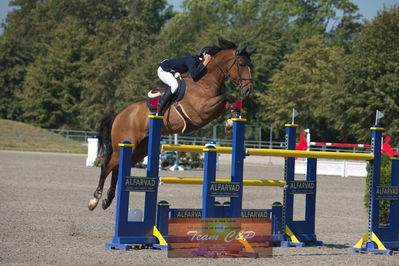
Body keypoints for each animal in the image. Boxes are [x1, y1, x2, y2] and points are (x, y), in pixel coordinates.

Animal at [88, 38, 256, 211]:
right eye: (241, 64)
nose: (248, 89)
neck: (206, 79)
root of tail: (119, 115)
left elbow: (230, 101)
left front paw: (230, 122)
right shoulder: (201, 110)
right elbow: (227, 96)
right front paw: (230, 121)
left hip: (139, 150)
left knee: (117, 169)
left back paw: (108, 200)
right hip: (124, 145)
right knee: (106, 167)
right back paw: (95, 200)